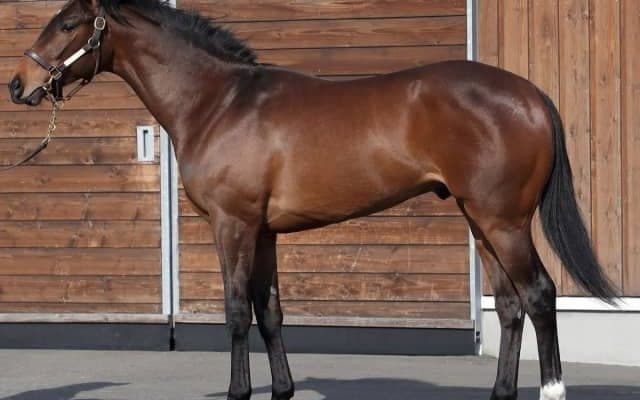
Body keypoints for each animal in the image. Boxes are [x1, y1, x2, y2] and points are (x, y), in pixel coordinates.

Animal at [8, 1, 617, 399]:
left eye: (68, 24)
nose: (18, 84)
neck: (219, 102)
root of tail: (531, 95)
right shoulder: (264, 231)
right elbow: (270, 311)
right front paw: (281, 389)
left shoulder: (232, 224)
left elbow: (236, 311)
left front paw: (237, 392)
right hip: (480, 220)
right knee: (511, 305)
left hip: (505, 222)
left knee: (539, 295)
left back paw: (553, 390)